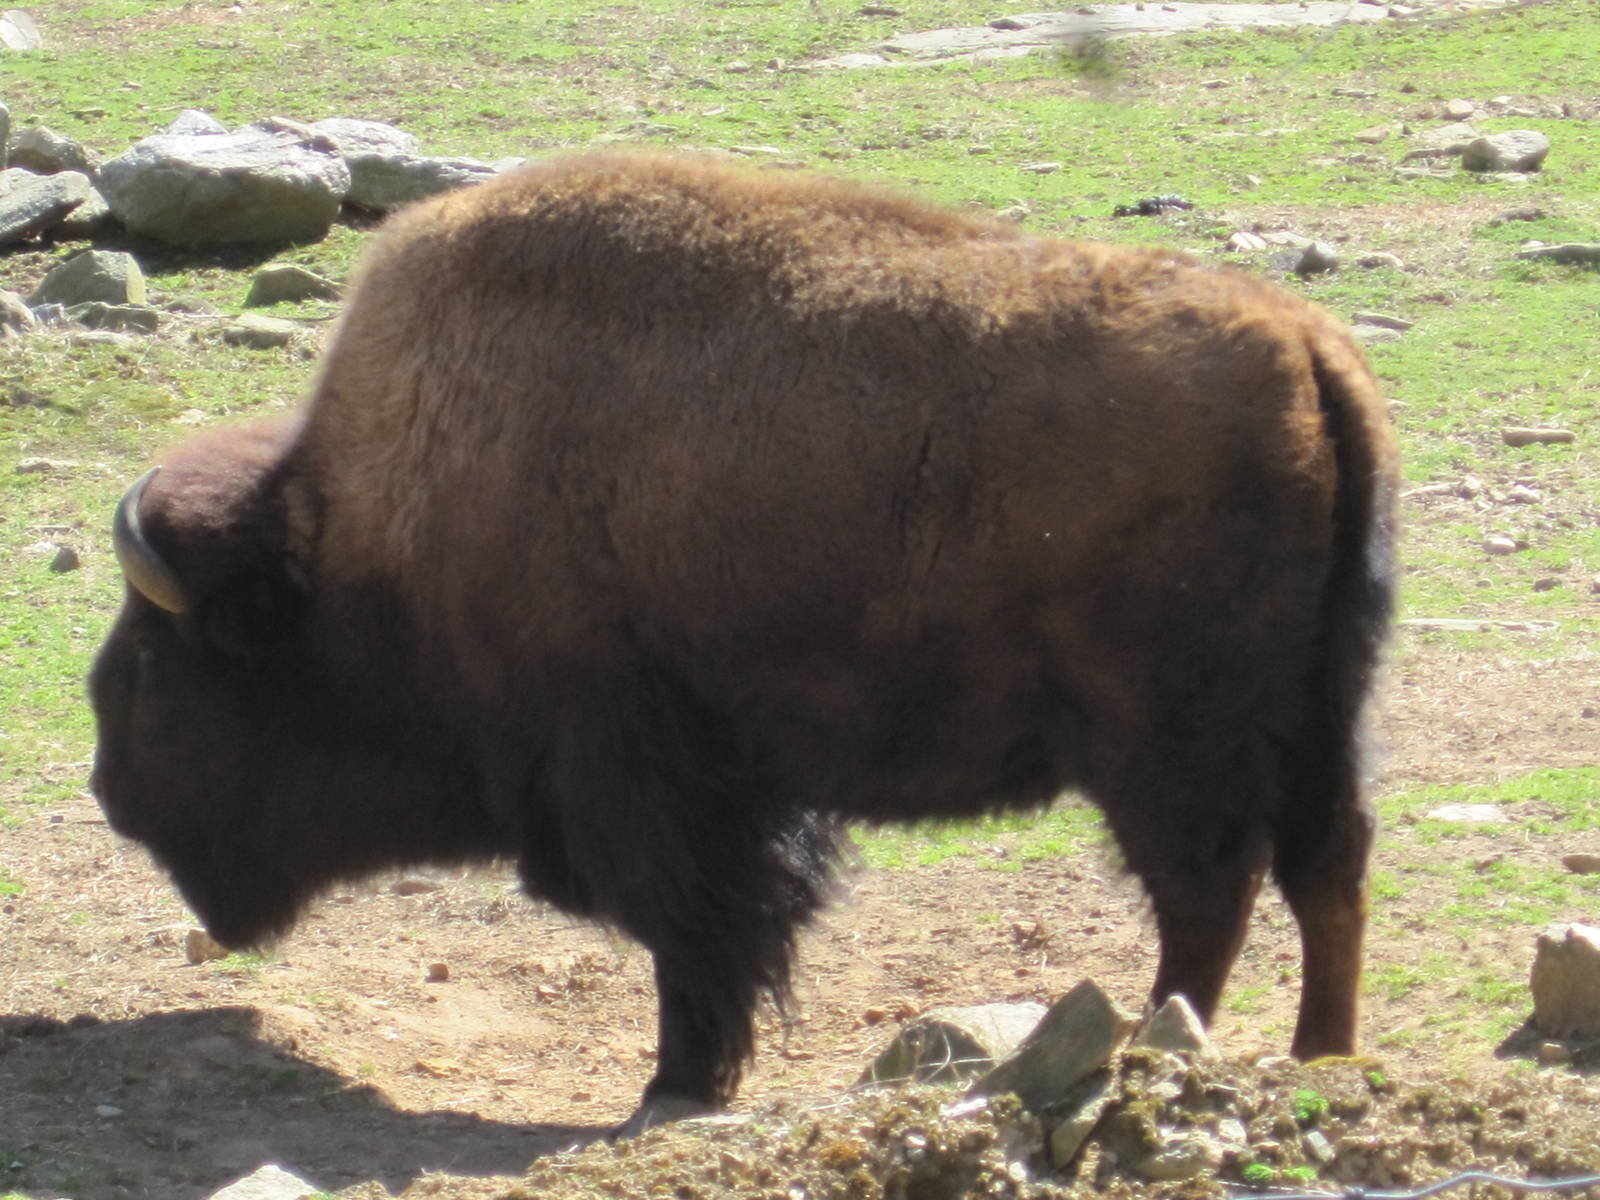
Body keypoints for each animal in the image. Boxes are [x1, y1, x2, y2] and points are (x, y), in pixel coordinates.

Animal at [90, 151, 1396, 1132]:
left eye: (157, 661)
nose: (108, 787)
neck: (371, 524)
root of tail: (1301, 342)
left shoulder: (641, 782)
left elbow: (698, 931)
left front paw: (674, 1084)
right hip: (1320, 712)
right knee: (1324, 865)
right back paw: (1320, 1058)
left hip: (1161, 744)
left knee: (1210, 890)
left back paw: (1173, 1050)